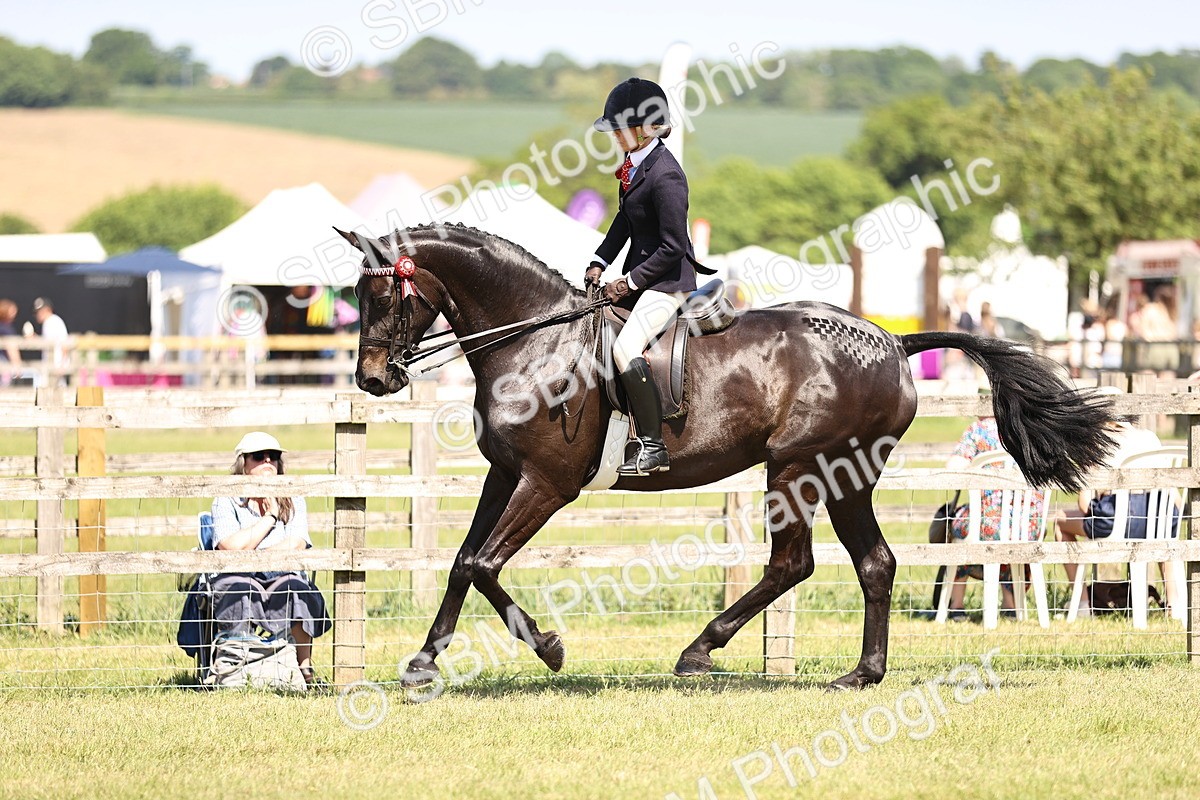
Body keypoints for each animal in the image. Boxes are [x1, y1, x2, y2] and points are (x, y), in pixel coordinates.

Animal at [338, 223, 1117, 690]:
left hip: (798, 468)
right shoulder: (505, 474)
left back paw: (699, 650)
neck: (535, 342)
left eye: (383, 295)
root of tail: (891, 341)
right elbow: (462, 561)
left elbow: (483, 564)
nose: (372, 380)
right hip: (847, 475)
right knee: (873, 563)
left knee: (792, 564)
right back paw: (861, 673)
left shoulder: (548, 483)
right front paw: (423, 660)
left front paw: (549, 647)